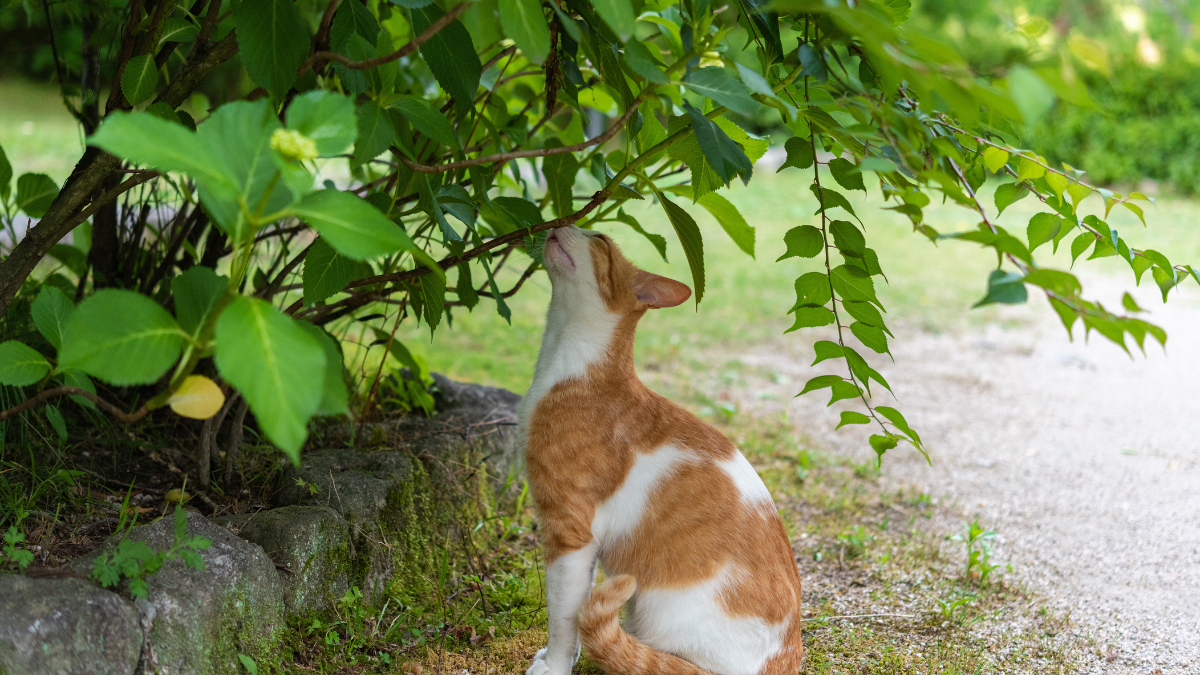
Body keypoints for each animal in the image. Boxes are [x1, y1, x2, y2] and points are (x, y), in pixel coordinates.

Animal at [518, 224, 806, 672]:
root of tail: (787, 659)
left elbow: (563, 616)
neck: (569, 364)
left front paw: (556, 665)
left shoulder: (570, 530)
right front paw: (555, 657)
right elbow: (573, 611)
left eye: (599, 238)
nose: (562, 222)